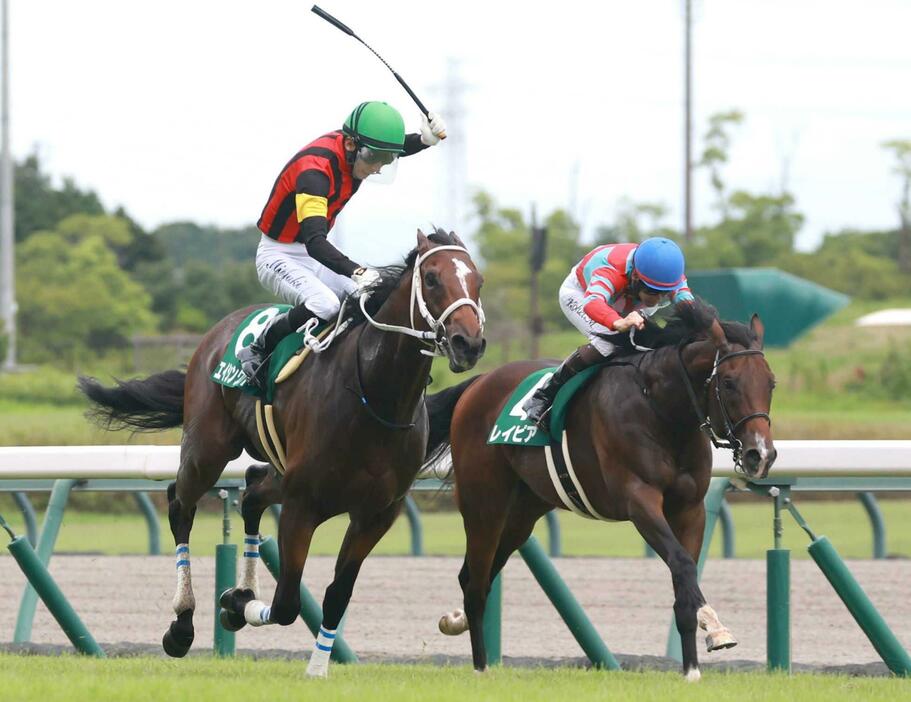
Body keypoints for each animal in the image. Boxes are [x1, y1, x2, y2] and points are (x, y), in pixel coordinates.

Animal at [82, 230, 488, 676]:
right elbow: (286, 603)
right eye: (431, 279)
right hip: (208, 449)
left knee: (253, 490)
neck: (373, 395)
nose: (469, 343)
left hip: (280, 471)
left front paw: (315, 667)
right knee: (180, 504)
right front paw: (233, 603)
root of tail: (219, 330)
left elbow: (336, 594)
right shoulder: (302, 504)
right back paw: (182, 625)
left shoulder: (377, 513)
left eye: (479, 281)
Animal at [426, 302, 776, 680]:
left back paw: (457, 623)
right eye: (728, 382)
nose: (761, 454)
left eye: (771, 383)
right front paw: (712, 633)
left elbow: (685, 576)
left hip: (523, 513)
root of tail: (478, 383)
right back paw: (480, 667)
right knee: (476, 585)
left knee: (476, 575)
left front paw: (694, 666)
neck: (662, 409)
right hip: (484, 504)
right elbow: (682, 564)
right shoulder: (639, 501)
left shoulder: (690, 508)